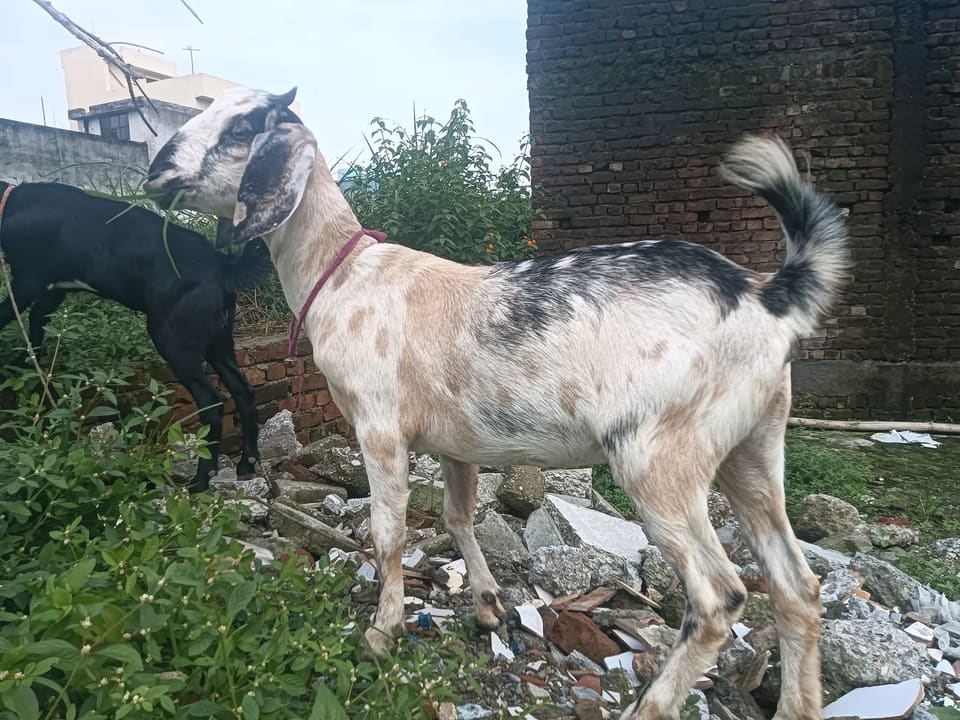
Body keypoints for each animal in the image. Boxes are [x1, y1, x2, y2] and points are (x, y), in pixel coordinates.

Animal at [0, 180, 271, 491]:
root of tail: (222, 266)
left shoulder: (27, 282)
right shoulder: (52, 290)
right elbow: (36, 326)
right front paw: (26, 364)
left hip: (172, 340)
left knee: (212, 402)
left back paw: (201, 479)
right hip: (219, 342)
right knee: (243, 391)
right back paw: (246, 464)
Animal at [144, 87, 849, 720]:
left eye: (242, 127)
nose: (155, 170)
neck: (343, 277)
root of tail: (767, 296)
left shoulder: (379, 425)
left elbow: (389, 531)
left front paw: (381, 632)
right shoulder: (457, 441)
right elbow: (458, 517)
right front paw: (488, 605)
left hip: (660, 456)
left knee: (720, 597)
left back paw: (650, 706)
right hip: (752, 446)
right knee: (796, 585)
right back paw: (797, 706)